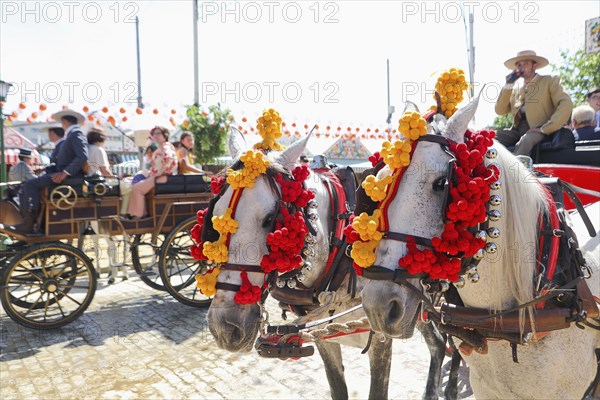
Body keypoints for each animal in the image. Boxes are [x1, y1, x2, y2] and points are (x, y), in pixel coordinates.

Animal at [206, 130, 460, 400]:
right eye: (214, 216)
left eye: (270, 219)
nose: (224, 327)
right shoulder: (324, 338)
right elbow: (337, 387)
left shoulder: (380, 336)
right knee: (439, 343)